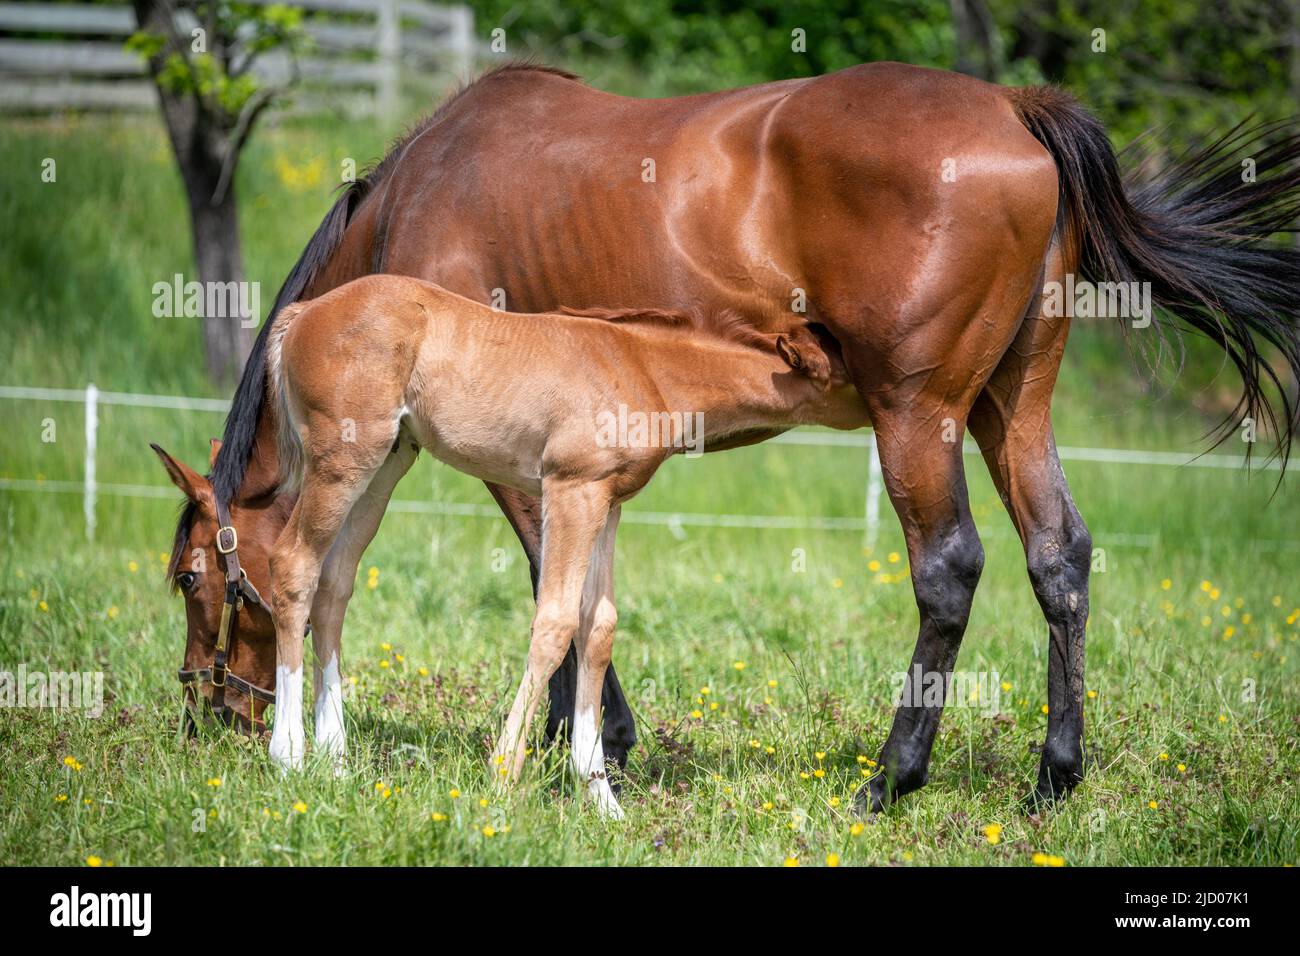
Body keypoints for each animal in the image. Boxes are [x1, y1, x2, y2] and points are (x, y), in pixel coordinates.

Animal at [160, 61, 1300, 813]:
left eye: (196, 578)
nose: (210, 716)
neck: (414, 194)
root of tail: (1015, 109)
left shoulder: (528, 461)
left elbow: (550, 592)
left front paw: (591, 743)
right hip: (1008, 406)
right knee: (1058, 556)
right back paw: (1053, 777)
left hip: (917, 417)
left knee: (949, 571)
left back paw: (892, 777)